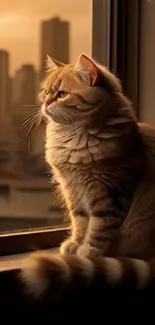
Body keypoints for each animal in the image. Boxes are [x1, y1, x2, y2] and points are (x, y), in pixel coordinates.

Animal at [20, 54, 155, 298]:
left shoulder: (112, 193)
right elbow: (80, 221)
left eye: (61, 94)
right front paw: (76, 243)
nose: (45, 103)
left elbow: (100, 225)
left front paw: (90, 249)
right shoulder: (74, 190)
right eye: (45, 92)